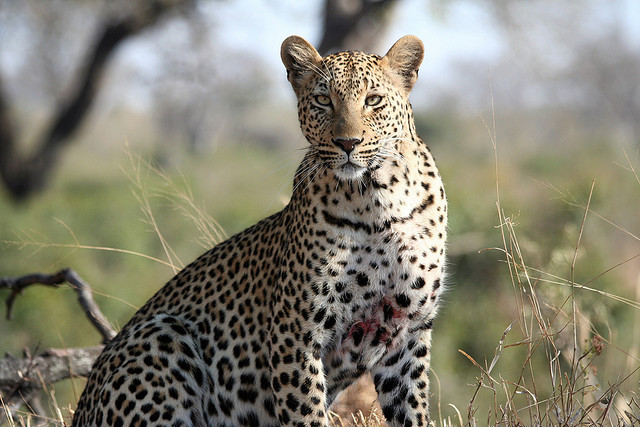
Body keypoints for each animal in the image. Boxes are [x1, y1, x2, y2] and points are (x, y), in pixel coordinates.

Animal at [70, 35, 448, 426]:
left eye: (373, 100)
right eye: (323, 100)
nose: (347, 143)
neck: (376, 202)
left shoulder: (407, 335)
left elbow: (413, 411)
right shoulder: (295, 334)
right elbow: (307, 414)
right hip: (163, 335)